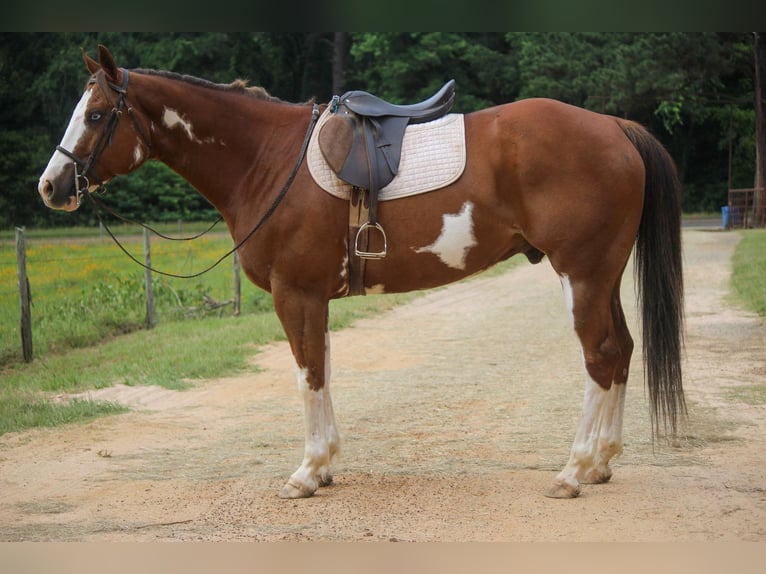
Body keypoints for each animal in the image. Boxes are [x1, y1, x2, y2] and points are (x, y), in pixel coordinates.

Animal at [36, 47, 688, 502]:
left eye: (97, 114)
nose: (51, 187)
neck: (267, 159)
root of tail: (614, 126)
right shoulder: (314, 298)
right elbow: (322, 371)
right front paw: (325, 468)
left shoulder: (295, 295)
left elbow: (307, 376)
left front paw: (306, 473)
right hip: (603, 277)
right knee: (623, 350)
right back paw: (602, 463)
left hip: (581, 275)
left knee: (600, 357)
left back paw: (572, 472)